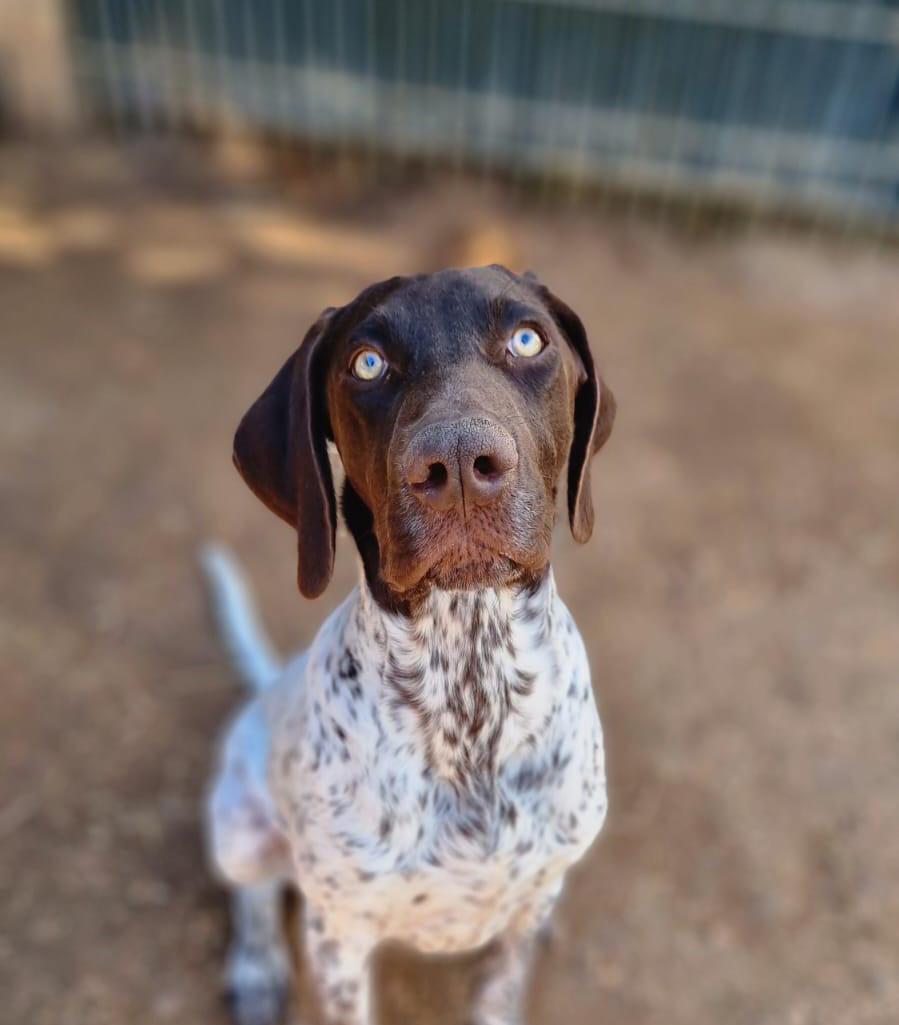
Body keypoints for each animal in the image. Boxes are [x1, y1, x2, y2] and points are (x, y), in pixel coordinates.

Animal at [203, 265, 616, 1025]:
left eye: (527, 339)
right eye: (366, 363)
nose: (455, 462)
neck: (469, 683)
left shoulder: (529, 898)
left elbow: (502, 982)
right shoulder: (337, 935)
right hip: (239, 826)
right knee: (253, 895)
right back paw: (257, 968)